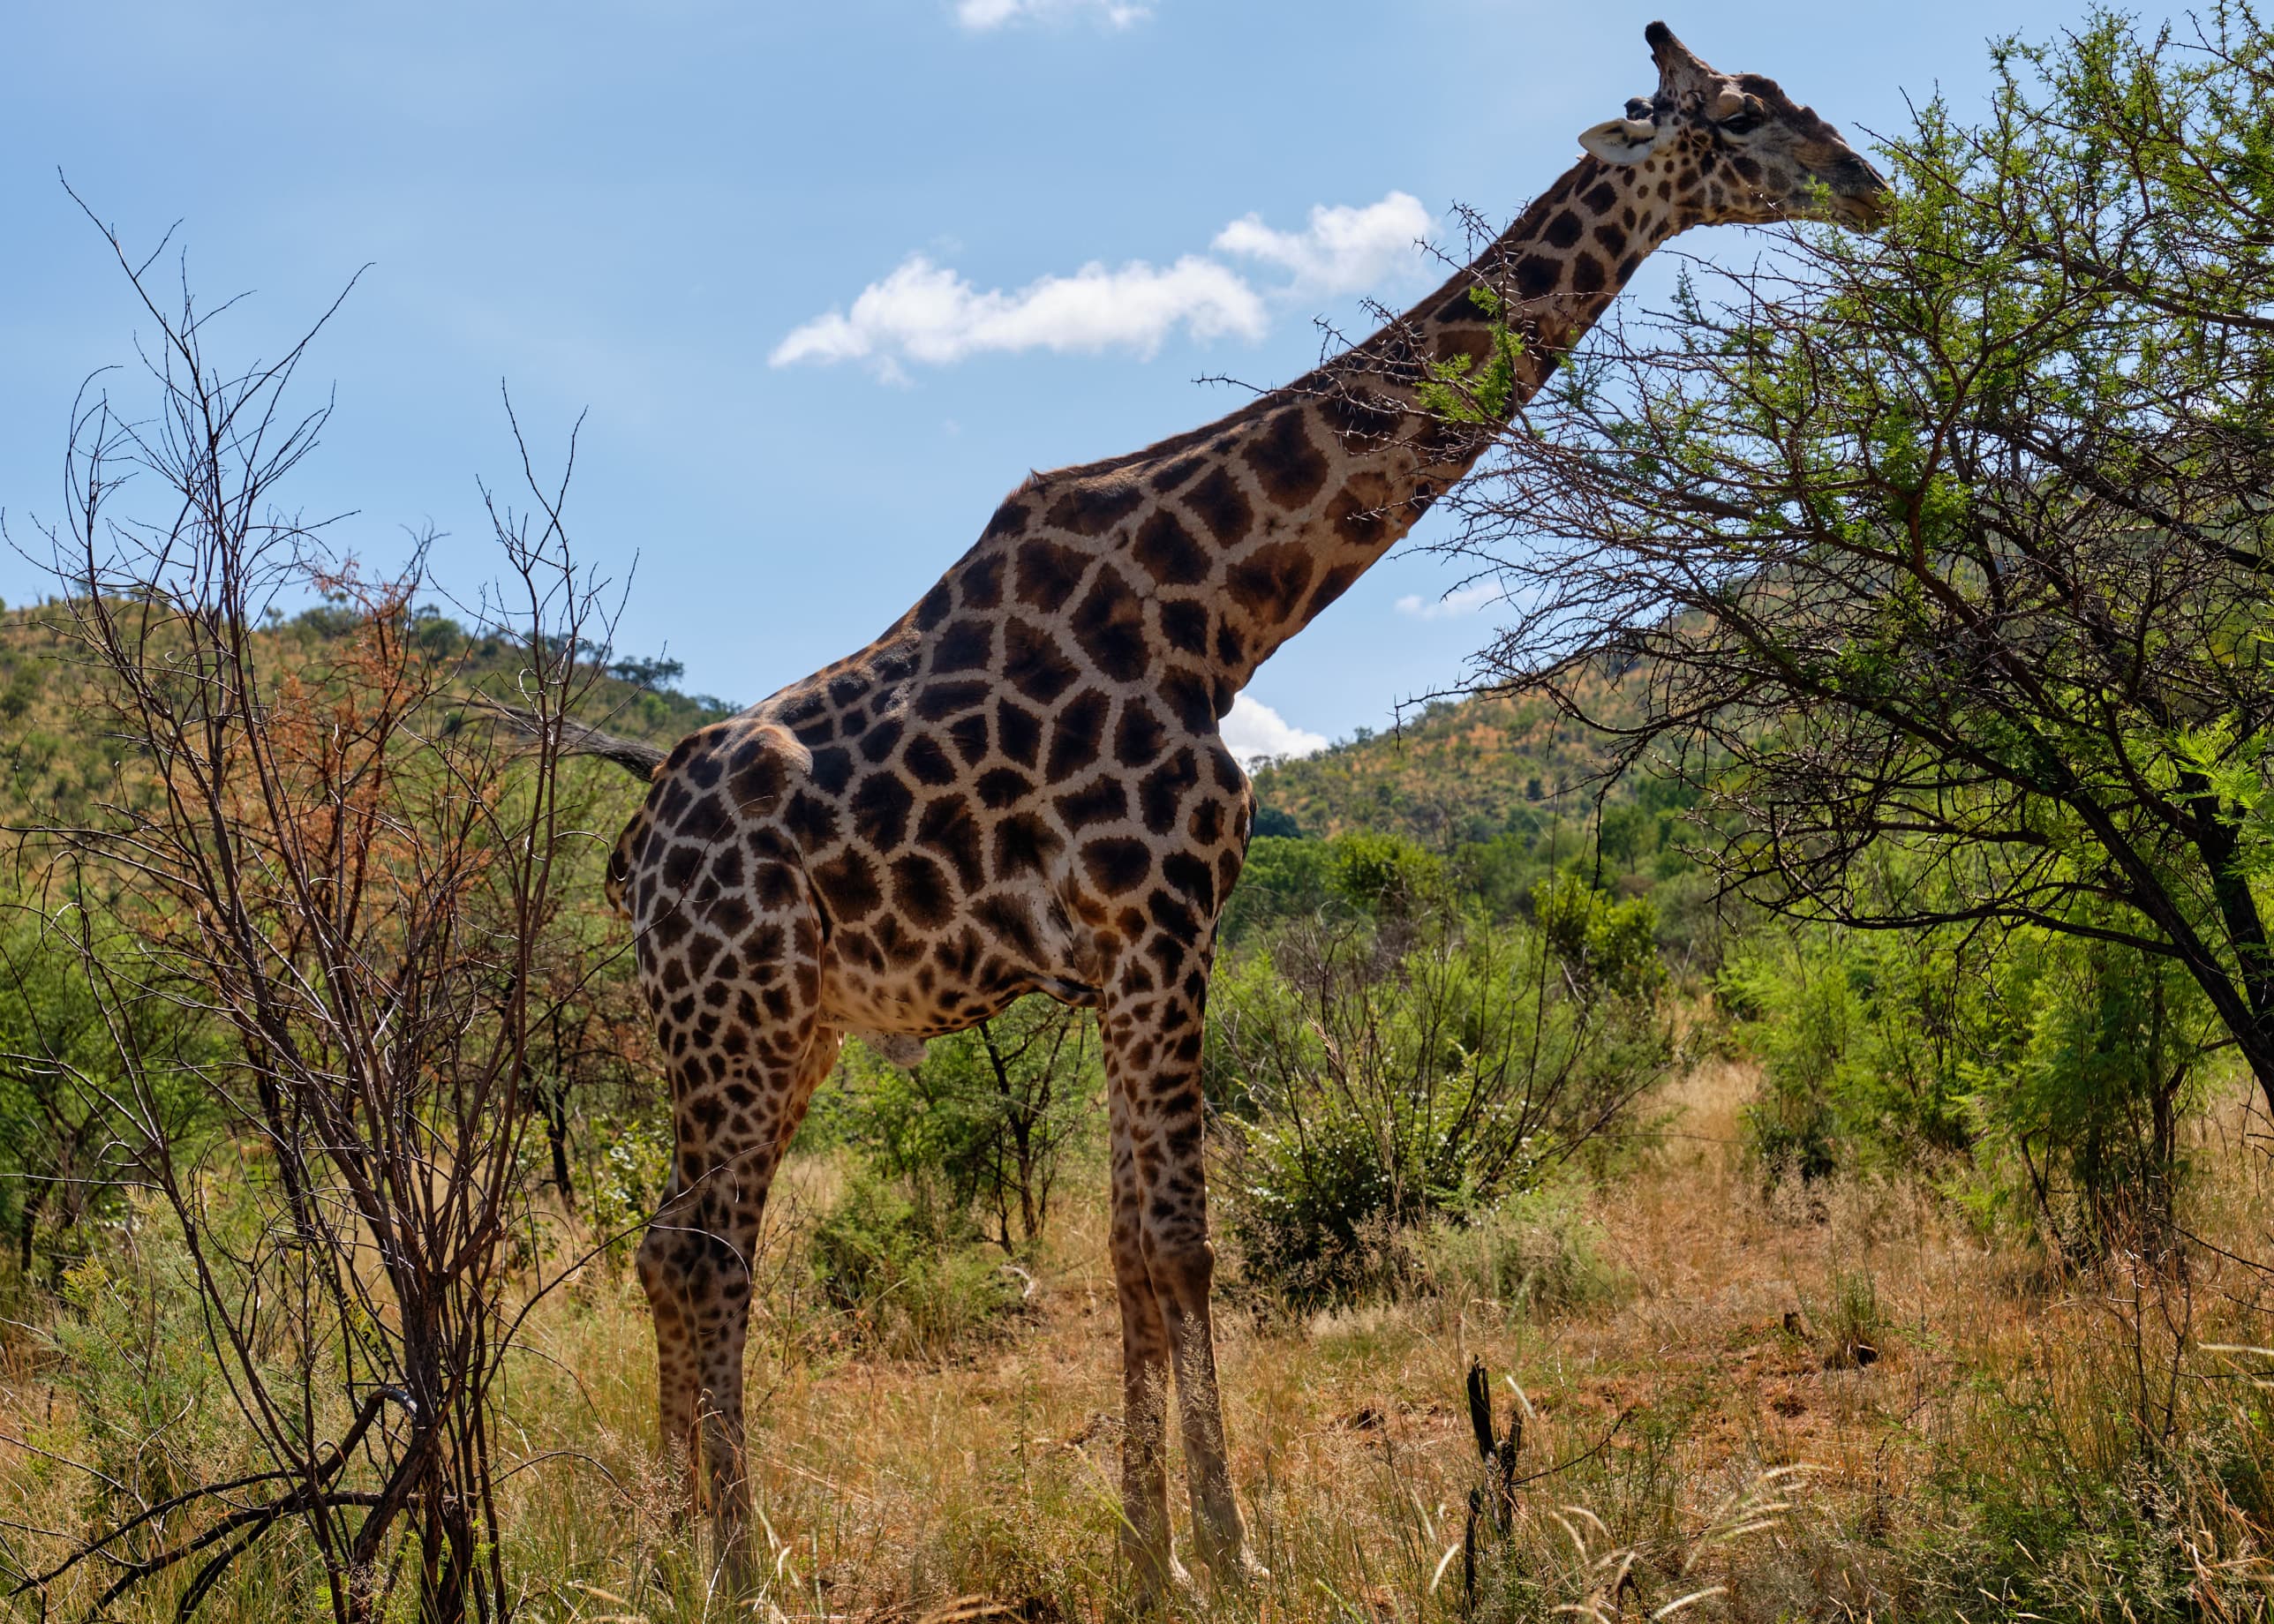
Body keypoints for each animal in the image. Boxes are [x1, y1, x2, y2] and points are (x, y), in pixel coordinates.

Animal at [596, 22, 1886, 1588]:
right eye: (1744, 118)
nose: (1871, 184)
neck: (1220, 614)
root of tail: (637, 854)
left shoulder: (1131, 954)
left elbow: (1125, 1245)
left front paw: (1148, 1549)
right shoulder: (1163, 926)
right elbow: (1180, 1246)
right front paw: (1221, 1553)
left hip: (787, 1030)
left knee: (670, 1239)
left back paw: (673, 1544)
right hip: (740, 1005)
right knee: (703, 1248)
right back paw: (738, 1563)